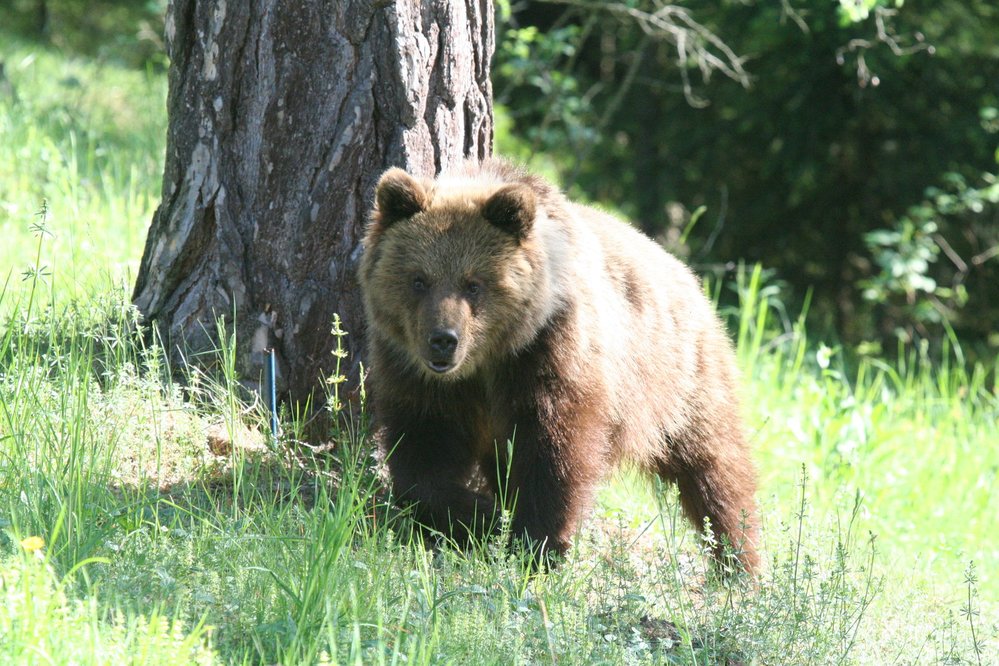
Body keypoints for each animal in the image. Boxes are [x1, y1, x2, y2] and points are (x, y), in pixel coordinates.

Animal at [358, 158, 756, 568]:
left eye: (473, 284)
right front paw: (484, 519)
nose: (443, 340)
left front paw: (536, 542)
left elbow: (556, 454)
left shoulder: (548, 352)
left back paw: (739, 560)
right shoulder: (415, 373)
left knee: (714, 466)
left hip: (679, 380)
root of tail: (684, 272)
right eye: (419, 280)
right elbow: (422, 461)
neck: (485, 360)